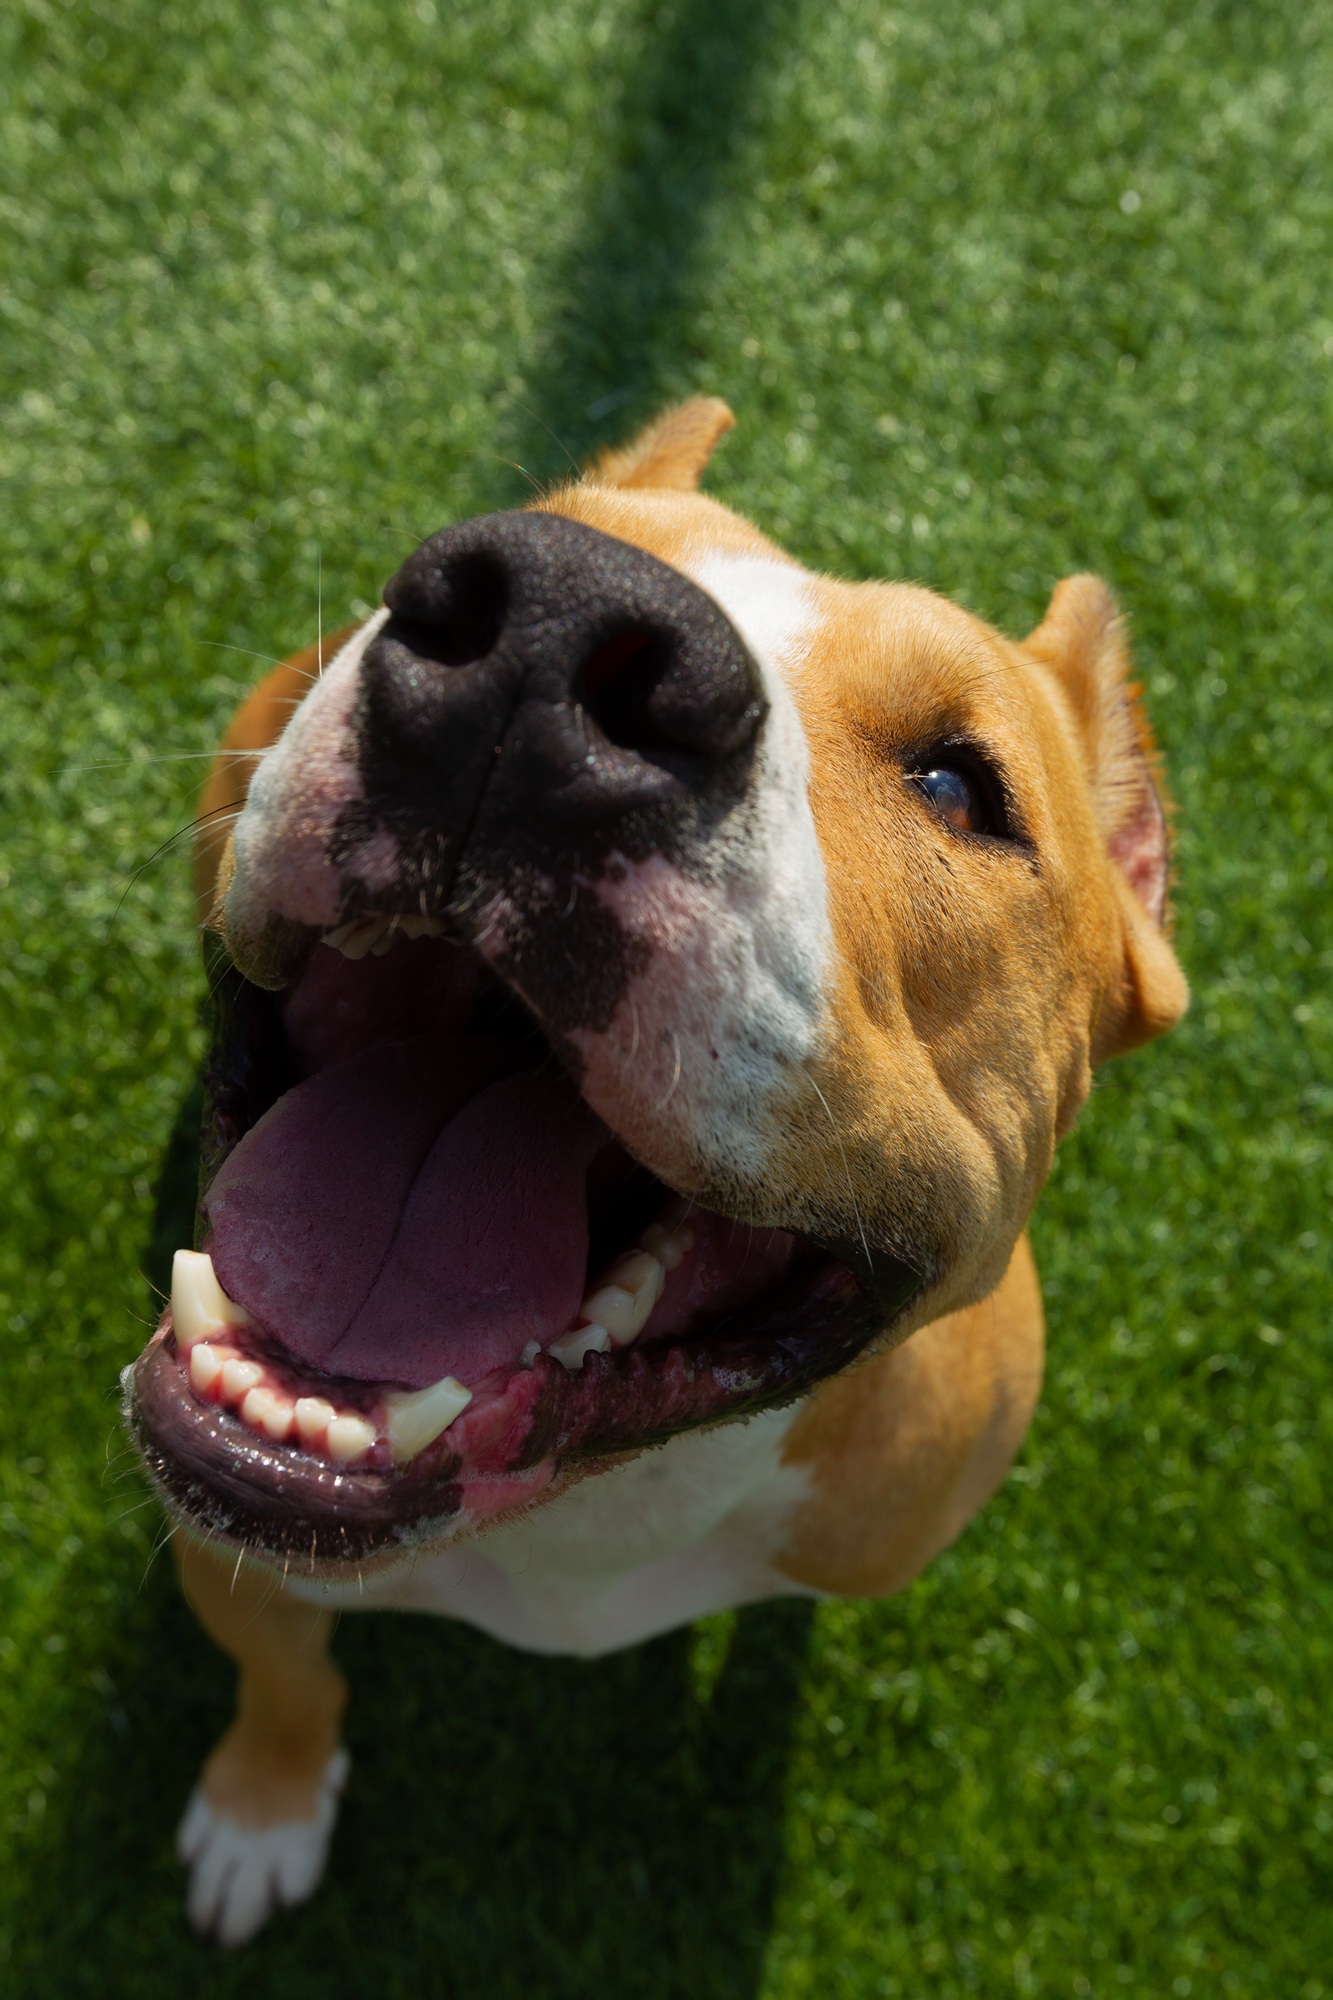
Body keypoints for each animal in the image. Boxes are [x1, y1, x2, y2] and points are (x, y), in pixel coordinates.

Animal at [124, 398, 1184, 1944]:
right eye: (509, 544)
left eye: (960, 786)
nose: (551, 622)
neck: (605, 1487)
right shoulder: (225, 1547)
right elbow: (288, 1674)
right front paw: (264, 1806)